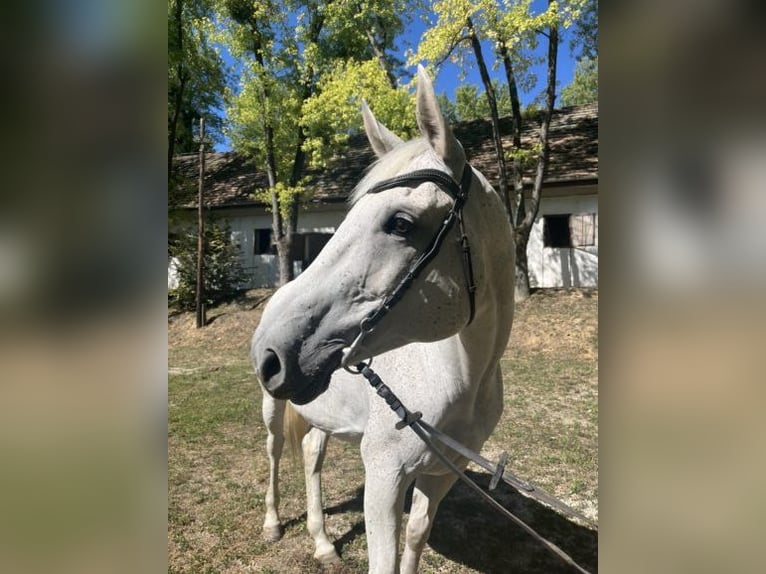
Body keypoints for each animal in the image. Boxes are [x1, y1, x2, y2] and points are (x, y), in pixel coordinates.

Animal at [251, 65, 515, 574]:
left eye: (401, 224)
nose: (270, 354)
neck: (459, 376)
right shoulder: (383, 477)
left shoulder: (441, 475)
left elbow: (415, 536)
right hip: (273, 407)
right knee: (273, 452)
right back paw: (272, 524)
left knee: (311, 455)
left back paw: (322, 541)